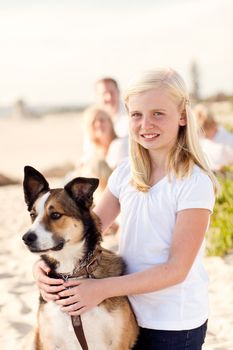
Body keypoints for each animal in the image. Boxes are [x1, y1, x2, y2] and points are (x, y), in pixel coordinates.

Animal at [21, 167, 138, 350]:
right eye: (33, 215)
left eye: (55, 215)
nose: (26, 238)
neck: (70, 272)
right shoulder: (49, 341)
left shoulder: (119, 342)